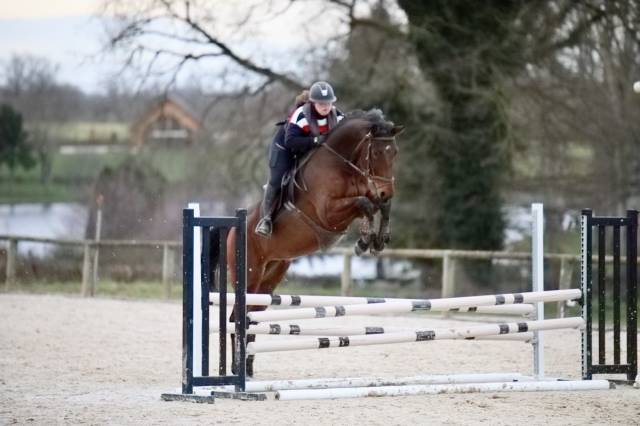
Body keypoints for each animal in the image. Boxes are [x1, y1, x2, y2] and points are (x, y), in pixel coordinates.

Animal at [225, 109, 403, 376]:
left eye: (395, 152)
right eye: (376, 153)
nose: (387, 191)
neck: (343, 164)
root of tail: (232, 230)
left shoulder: (366, 190)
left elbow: (378, 205)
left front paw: (377, 239)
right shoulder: (328, 213)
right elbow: (365, 204)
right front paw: (365, 240)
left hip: (270, 277)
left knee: (251, 318)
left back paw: (247, 366)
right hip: (249, 274)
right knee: (237, 316)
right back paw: (237, 367)